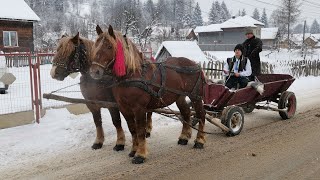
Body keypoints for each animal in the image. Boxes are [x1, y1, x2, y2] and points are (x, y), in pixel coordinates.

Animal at [89, 24, 206, 164]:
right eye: (95, 45)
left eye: (109, 46)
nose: (95, 71)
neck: (132, 75)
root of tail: (195, 64)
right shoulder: (124, 108)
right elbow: (132, 129)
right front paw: (134, 150)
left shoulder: (139, 108)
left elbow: (140, 131)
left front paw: (140, 154)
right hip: (179, 97)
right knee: (186, 113)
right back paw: (184, 137)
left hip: (195, 96)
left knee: (201, 115)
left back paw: (199, 141)